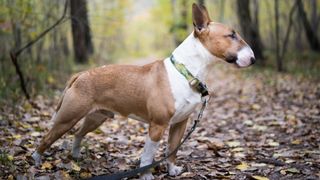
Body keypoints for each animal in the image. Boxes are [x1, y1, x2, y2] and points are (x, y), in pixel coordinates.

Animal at [32, 3, 255, 179]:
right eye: (231, 35)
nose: (253, 59)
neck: (186, 72)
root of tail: (81, 74)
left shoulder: (180, 123)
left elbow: (172, 149)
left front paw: (172, 170)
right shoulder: (157, 125)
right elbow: (148, 155)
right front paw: (146, 175)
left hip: (97, 117)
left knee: (78, 133)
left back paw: (76, 155)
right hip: (67, 118)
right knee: (47, 138)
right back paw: (36, 160)